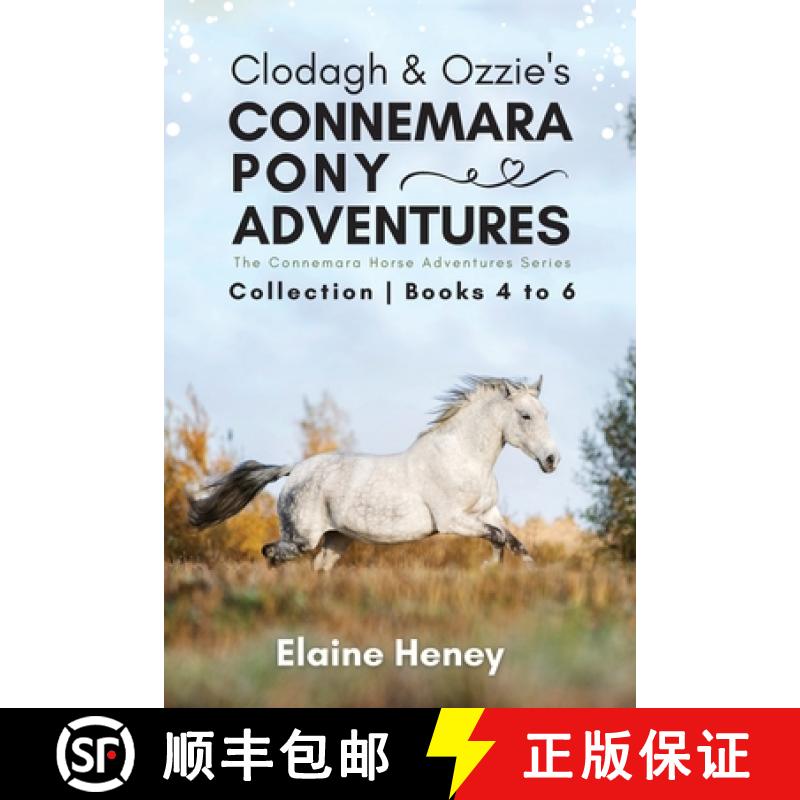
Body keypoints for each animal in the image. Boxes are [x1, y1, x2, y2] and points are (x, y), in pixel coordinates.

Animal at [188, 375, 560, 571]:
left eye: (546, 414)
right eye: (525, 415)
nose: (552, 459)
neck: (461, 458)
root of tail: (294, 469)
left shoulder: (488, 513)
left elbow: (514, 543)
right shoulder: (453, 520)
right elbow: (500, 539)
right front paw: (490, 570)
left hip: (336, 539)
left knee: (317, 567)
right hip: (303, 537)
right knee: (272, 553)